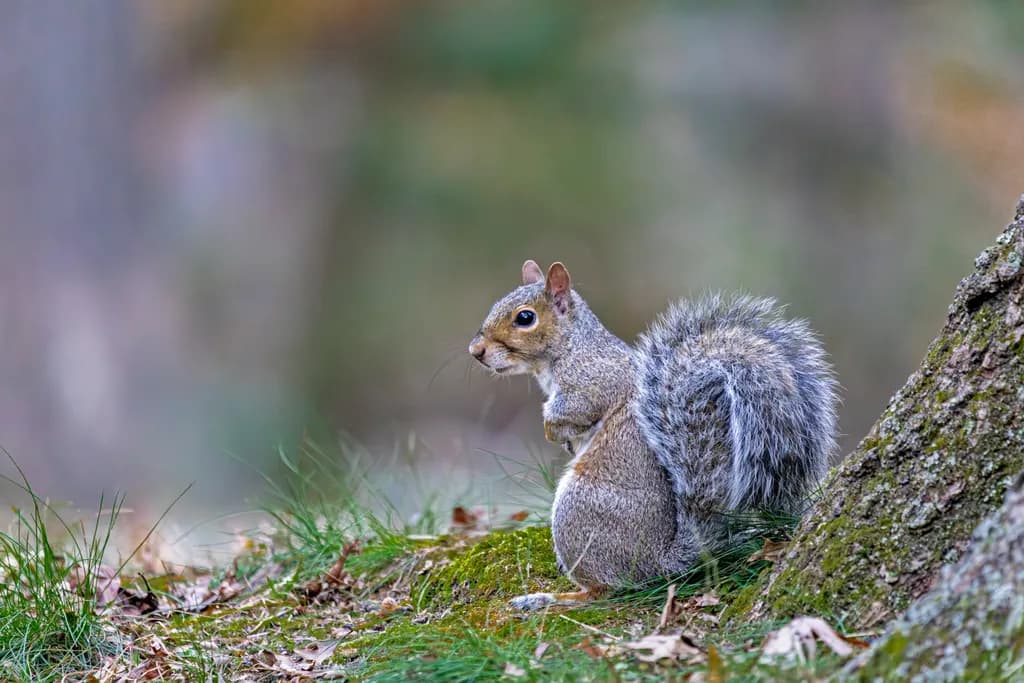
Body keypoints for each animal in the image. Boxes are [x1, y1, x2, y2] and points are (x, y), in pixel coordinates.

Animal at [468, 260, 838, 610]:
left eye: (525, 318)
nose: (476, 351)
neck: (570, 346)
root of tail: (657, 561)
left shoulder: (592, 382)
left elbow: (574, 410)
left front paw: (550, 428)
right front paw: (563, 439)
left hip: (578, 508)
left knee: (604, 590)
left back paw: (549, 599)